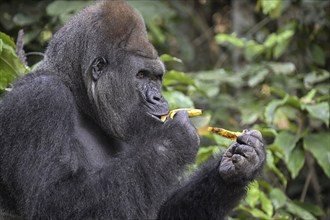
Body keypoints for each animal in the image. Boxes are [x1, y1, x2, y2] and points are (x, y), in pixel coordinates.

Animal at [0, 0, 266, 219]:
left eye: (156, 77)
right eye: (141, 75)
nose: (159, 97)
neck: (78, 94)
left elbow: (162, 207)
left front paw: (238, 167)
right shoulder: (41, 99)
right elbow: (53, 201)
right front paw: (174, 138)